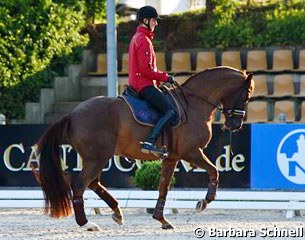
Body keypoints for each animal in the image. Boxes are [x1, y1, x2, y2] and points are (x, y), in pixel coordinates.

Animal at [33, 65, 254, 231]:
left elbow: (164, 186)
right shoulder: (191, 152)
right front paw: (203, 202)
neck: (193, 104)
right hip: (97, 158)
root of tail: (72, 114)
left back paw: (117, 211)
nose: (235, 125)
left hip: (96, 158)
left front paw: (162, 219)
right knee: (80, 184)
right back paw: (87, 224)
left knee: (93, 183)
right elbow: (214, 171)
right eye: (246, 95)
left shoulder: (171, 158)